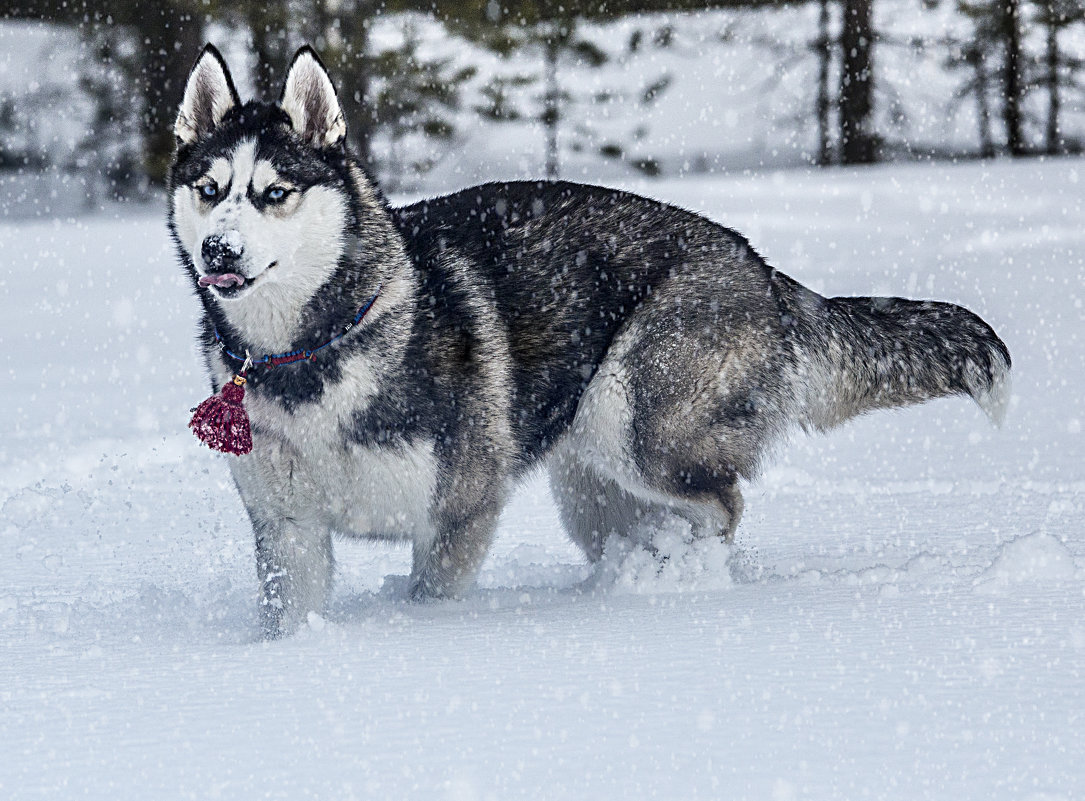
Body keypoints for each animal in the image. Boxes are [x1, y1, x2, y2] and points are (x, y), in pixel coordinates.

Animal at [167, 45, 1006, 638]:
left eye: (275, 193)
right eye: (209, 189)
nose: (219, 251)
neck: (313, 348)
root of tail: (757, 264)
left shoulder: (457, 514)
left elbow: (432, 597)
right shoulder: (287, 529)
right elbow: (291, 613)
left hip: (636, 426)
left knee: (721, 503)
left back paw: (678, 581)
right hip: (590, 481)